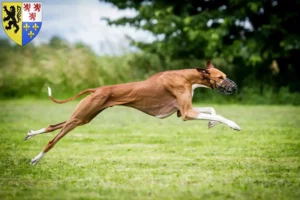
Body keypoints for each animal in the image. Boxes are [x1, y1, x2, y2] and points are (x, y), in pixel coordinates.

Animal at [27, 60, 240, 165]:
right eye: (220, 77)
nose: (234, 87)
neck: (186, 77)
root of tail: (97, 89)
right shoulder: (187, 113)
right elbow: (218, 114)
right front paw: (233, 124)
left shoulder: (182, 112)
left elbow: (211, 110)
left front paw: (211, 123)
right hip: (80, 117)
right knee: (52, 140)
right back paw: (36, 159)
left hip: (83, 117)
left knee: (53, 125)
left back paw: (30, 134)